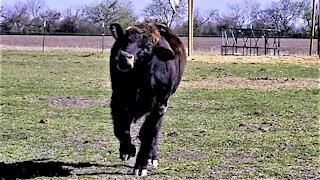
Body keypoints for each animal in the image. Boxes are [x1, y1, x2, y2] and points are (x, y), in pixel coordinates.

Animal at [109, 20, 186, 176]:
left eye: (147, 47)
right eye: (125, 40)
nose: (124, 57)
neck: (140, 79)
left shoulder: (159, 106)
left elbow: (147, 133)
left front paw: (141, 165)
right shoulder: (118, 101)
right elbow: (120, 128)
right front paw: (127, 149)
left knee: (156, 130)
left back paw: (152, 157)